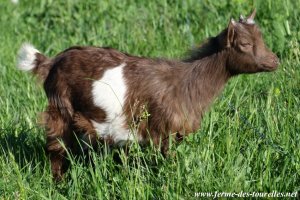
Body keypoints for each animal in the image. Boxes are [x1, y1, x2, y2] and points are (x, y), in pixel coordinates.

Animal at [16, 10, 278, 180]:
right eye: (244, 44)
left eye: (262, 38)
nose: (275, 60)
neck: (186, 83)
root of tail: (51, 62)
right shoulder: (162, 132)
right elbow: (166, 162)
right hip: (60, 108)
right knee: (57, 147)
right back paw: (58, 183)